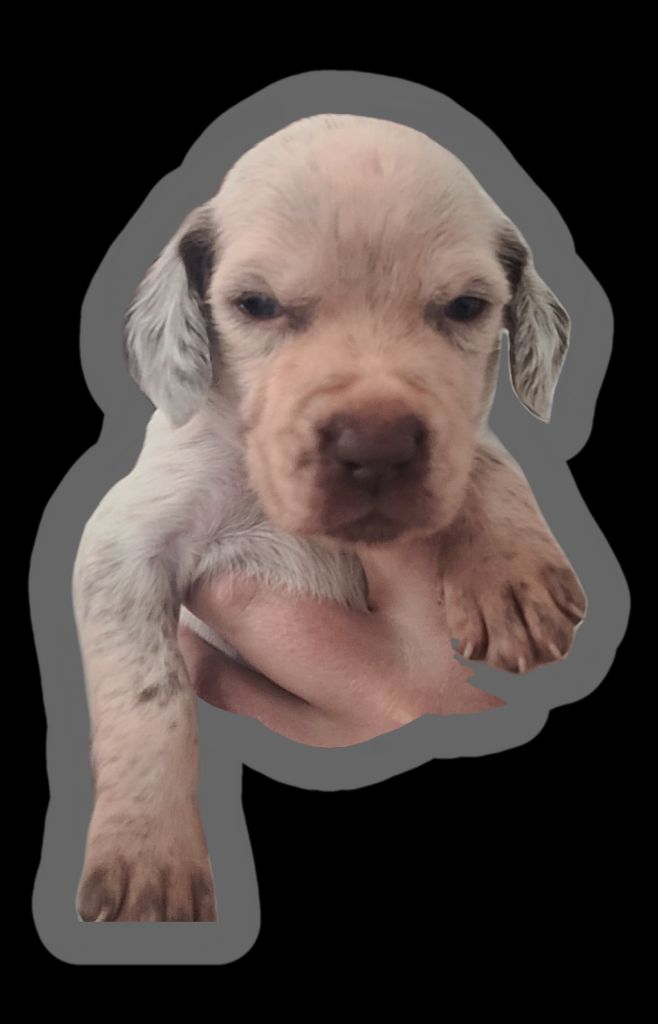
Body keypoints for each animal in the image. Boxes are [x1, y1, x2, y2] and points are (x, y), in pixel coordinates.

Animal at [73, 113, 587, 922]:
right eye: (255, 305)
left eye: (467, 307)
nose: (375, 446)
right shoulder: (124, 544)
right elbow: (151, 697)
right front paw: (148, 856)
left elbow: (485, 456)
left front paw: (511, 573)